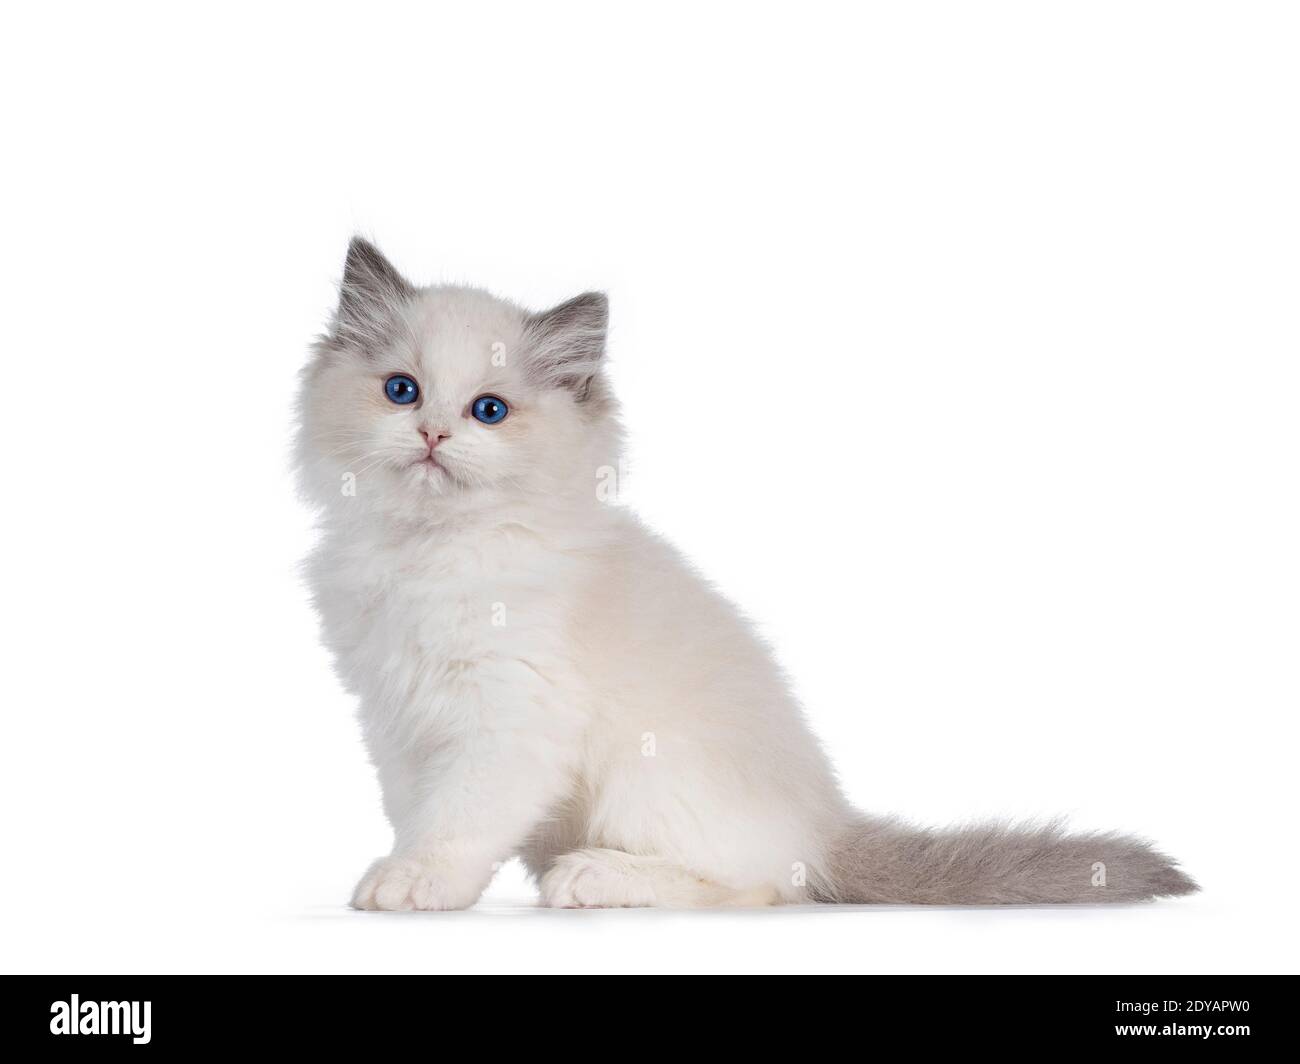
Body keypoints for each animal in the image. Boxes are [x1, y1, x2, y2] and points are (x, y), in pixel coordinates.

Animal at [295, 238, 1196, 905]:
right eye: (402, 392)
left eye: (489, 411)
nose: (434, 437)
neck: (432, 549)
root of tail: (825, 824)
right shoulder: (395, 719)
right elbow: (418, 811)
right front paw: (403, 871)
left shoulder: (508, 720)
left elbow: (459, 823)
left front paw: (419, 882)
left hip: (647, 775)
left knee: (756, 886)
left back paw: (595, 877)